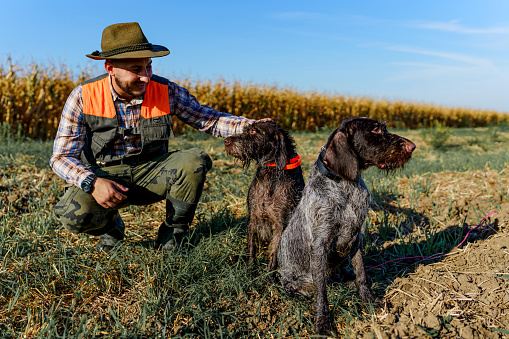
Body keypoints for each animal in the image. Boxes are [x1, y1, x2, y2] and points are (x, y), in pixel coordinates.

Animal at [224, 121, 304, 274]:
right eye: (246, 129)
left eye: (254, 131)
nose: (226, 141)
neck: (270, 173)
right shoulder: (252, 218)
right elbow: (251, 247)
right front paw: (249, 269)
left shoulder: (281, 225)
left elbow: (274, 254)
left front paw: (269, 275)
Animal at [276, 118, 414, 336]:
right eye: (376, 130)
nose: (412, 146)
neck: (346, 185)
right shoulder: (320, 245)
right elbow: (321, 294)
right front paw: (323, 323)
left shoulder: (356, 236)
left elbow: (362, 274)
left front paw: (369, 300)